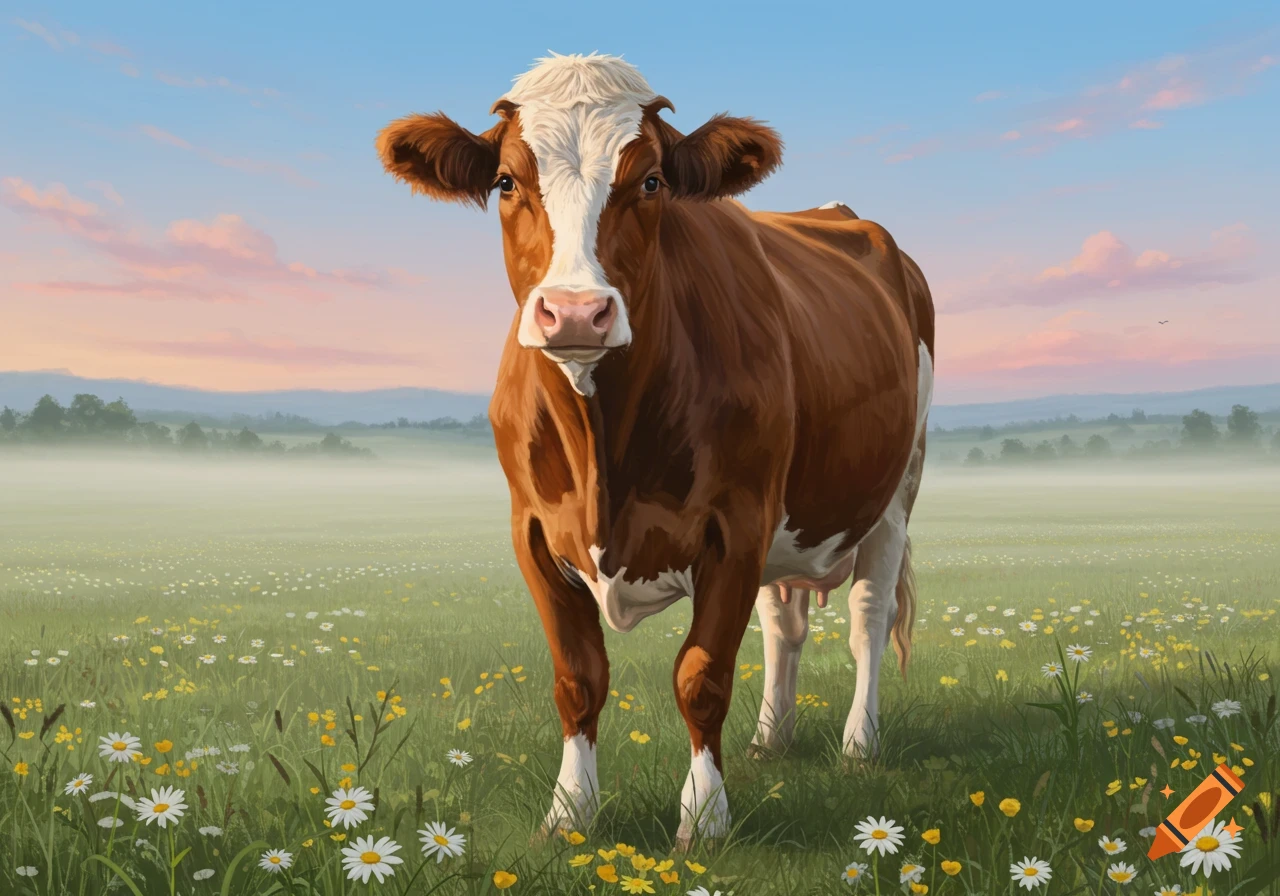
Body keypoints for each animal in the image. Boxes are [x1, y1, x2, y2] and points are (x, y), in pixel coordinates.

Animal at [376, 52, 934, 849]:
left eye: (651, 181)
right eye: (507, 181)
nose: (577, 311)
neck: (603, 445)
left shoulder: (737, 524)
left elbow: (701, 675)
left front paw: (704, 818)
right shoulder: (533, 531)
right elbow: (578, 677)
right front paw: (569, 814)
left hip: (894, 491)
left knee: (869, 617)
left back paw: (860, 744)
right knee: (784, 626)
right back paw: (772, 739)